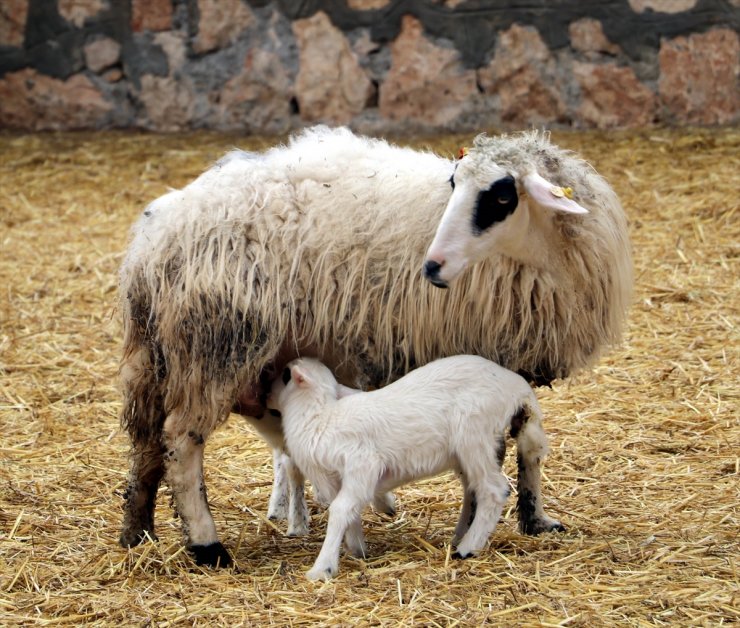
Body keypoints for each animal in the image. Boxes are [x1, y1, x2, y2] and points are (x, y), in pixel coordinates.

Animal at [272, 356, 560, 580]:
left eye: (285, 375)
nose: (265, 394)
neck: (320, 417)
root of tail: (516, 386)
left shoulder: (362, 463)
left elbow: (341, 510)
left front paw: (322, 568)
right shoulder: (339, 480)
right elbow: (349, 513)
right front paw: (357, 549)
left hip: (474, 435)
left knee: (493, 489)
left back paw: (467, 547)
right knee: (475, 490)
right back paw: (459, 538)